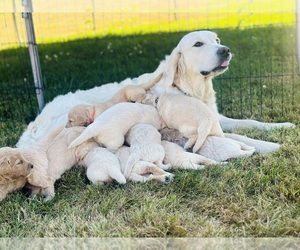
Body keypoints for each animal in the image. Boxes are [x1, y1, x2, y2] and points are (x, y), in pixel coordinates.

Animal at [15, 30, 292, 153]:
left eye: (216, 40)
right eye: (198, 44)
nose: (226, 50)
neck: (188, 87)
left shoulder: (216, 116)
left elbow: (251, 122)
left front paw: (282, 126)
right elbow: (241, 136)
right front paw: (270, 145)